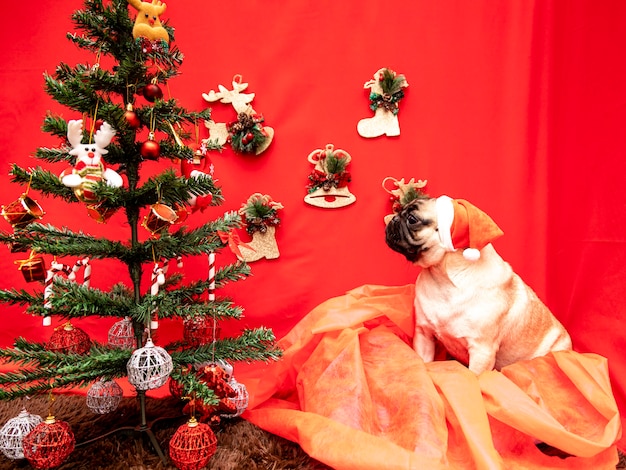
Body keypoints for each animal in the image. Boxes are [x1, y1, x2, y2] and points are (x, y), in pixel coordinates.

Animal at [382, 195, 568, 374]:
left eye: (412, 219)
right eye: (399, 209)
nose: (393, 218)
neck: (443, 278)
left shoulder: (482, 351)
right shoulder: (424, 334)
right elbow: (424, 362)